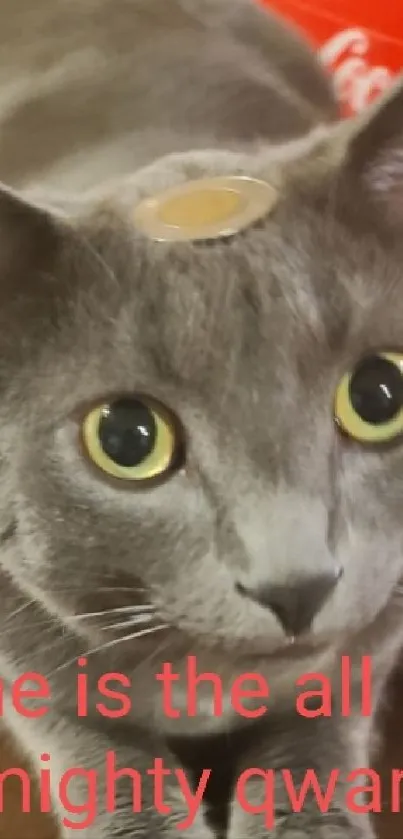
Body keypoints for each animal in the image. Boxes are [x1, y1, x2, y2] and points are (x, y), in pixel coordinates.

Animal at [0, 1, 403, 839]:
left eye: (380, 395)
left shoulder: (374, 633)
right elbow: (98, 755)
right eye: (125, 438)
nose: (296, 583)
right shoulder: (21, 652)